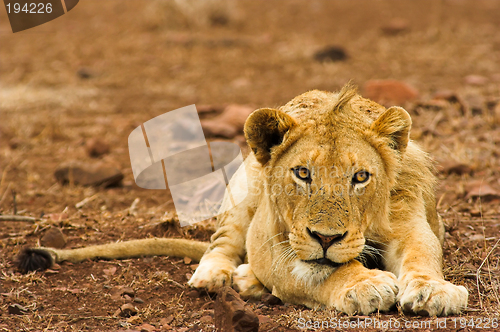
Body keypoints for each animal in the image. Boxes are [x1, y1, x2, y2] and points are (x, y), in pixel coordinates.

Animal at [16, 83, 468, 316]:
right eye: (302, 173)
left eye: (360, 178)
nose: (326, 238)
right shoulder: (272, 241)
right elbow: (318, 272)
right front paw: (364, 284)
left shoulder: (410, 222)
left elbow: (423, 255)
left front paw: (433, 292)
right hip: (242, 189)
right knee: (221, 244)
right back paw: (223, 276)